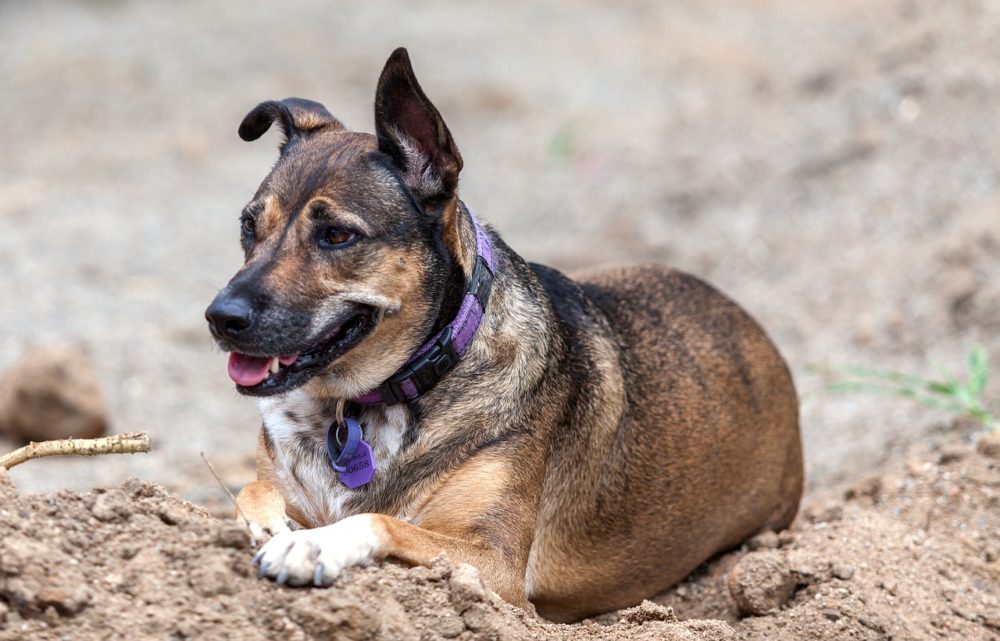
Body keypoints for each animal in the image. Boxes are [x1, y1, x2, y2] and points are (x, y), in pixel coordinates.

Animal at [205, 46, 804, 620]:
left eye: (336, 235)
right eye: (248, 226)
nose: (220, 317)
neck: (360, 405)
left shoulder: (493, 566)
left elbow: (381, 521)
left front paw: (311, 545)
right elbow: (254, 487)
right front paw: (271, 526)